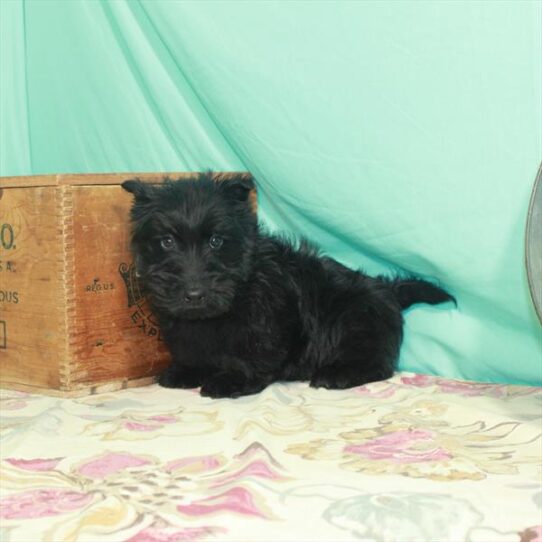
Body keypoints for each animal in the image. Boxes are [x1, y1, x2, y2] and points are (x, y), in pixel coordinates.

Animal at [122, 174, 454, 400]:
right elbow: (192, 350)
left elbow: (254, 353)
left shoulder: (267, 322)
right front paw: (186, 371)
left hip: (355, 321)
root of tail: (387, 289)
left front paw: (231, 379)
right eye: (166, 241)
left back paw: (336, 374)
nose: (194, 294)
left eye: (216, 241)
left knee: (378, 365)